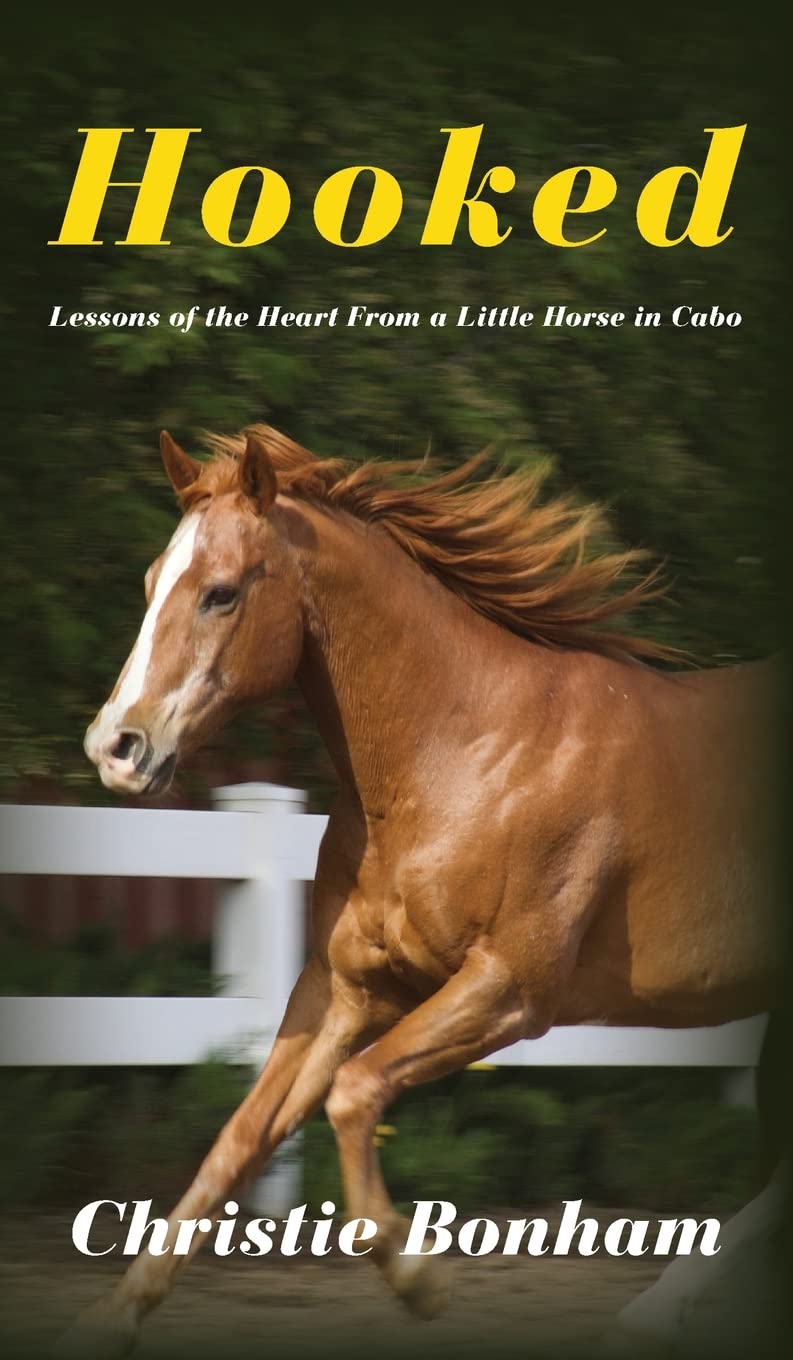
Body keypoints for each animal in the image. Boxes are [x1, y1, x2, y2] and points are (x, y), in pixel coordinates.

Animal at [71, 424, 783, 1354]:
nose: (115, 748)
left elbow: (352, 1094)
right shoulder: (345, 989)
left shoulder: (509, 991)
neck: (461, 754)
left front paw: (418, 1280)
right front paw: (112, 1318)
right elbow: (241, 1137)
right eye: (153, 583)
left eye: (221, 593)